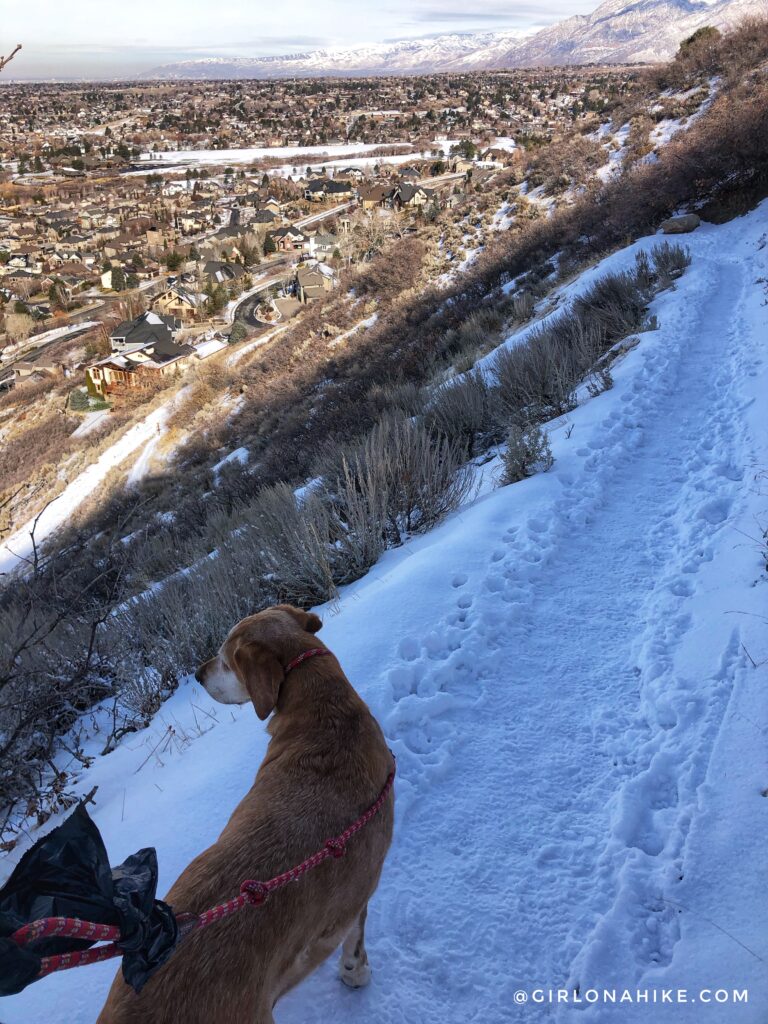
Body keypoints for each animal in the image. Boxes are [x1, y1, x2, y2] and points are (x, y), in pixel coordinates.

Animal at [96, 602, 393, 1019]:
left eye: (225, 659)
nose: (198, 674)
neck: (321, 711)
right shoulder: (358, 892)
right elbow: (354, 939)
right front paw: (356, 974)